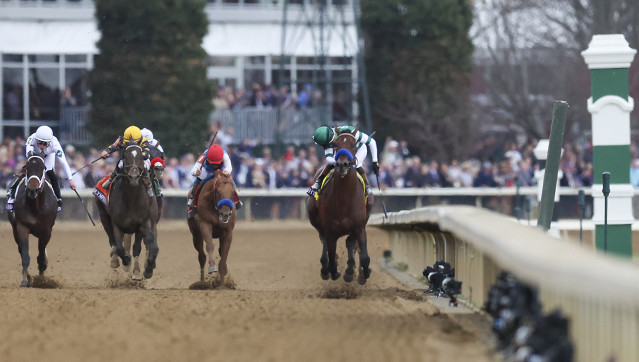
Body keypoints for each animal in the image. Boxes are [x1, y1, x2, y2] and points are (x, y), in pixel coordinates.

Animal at [7, 154, 58, 288]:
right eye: (26, 168)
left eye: (42, 168)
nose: (32, 190)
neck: (36, 206)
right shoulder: (22, 227)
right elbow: (25, 256)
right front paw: (25, 281)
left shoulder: (46, 231)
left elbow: (41, 257)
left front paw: (42, 281)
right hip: (14, 230)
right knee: (20, 250)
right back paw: (29, 278)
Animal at [95, 143, 160, 278]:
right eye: (126, 157)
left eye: (141, 157)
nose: (134, 176)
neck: (132, 200)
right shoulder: (117, 224)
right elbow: (119, 247)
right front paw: (126, 262)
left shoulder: (144, 222)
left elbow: (148, 244)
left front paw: (147, 269)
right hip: (103, 215)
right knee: (112, 241)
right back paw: (115, 260)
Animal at [308, 126, 372, 284]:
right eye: (336, 145)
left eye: (353, 145)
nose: (342, 164)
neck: (344, 200)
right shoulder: (330, 231)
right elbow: (331, 258)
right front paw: (333, 270)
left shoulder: (359, 227)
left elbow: (364, 256)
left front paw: (362, 273)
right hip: (315, 219)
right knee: (324, 241)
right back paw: (326, 269)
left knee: (350, 243)